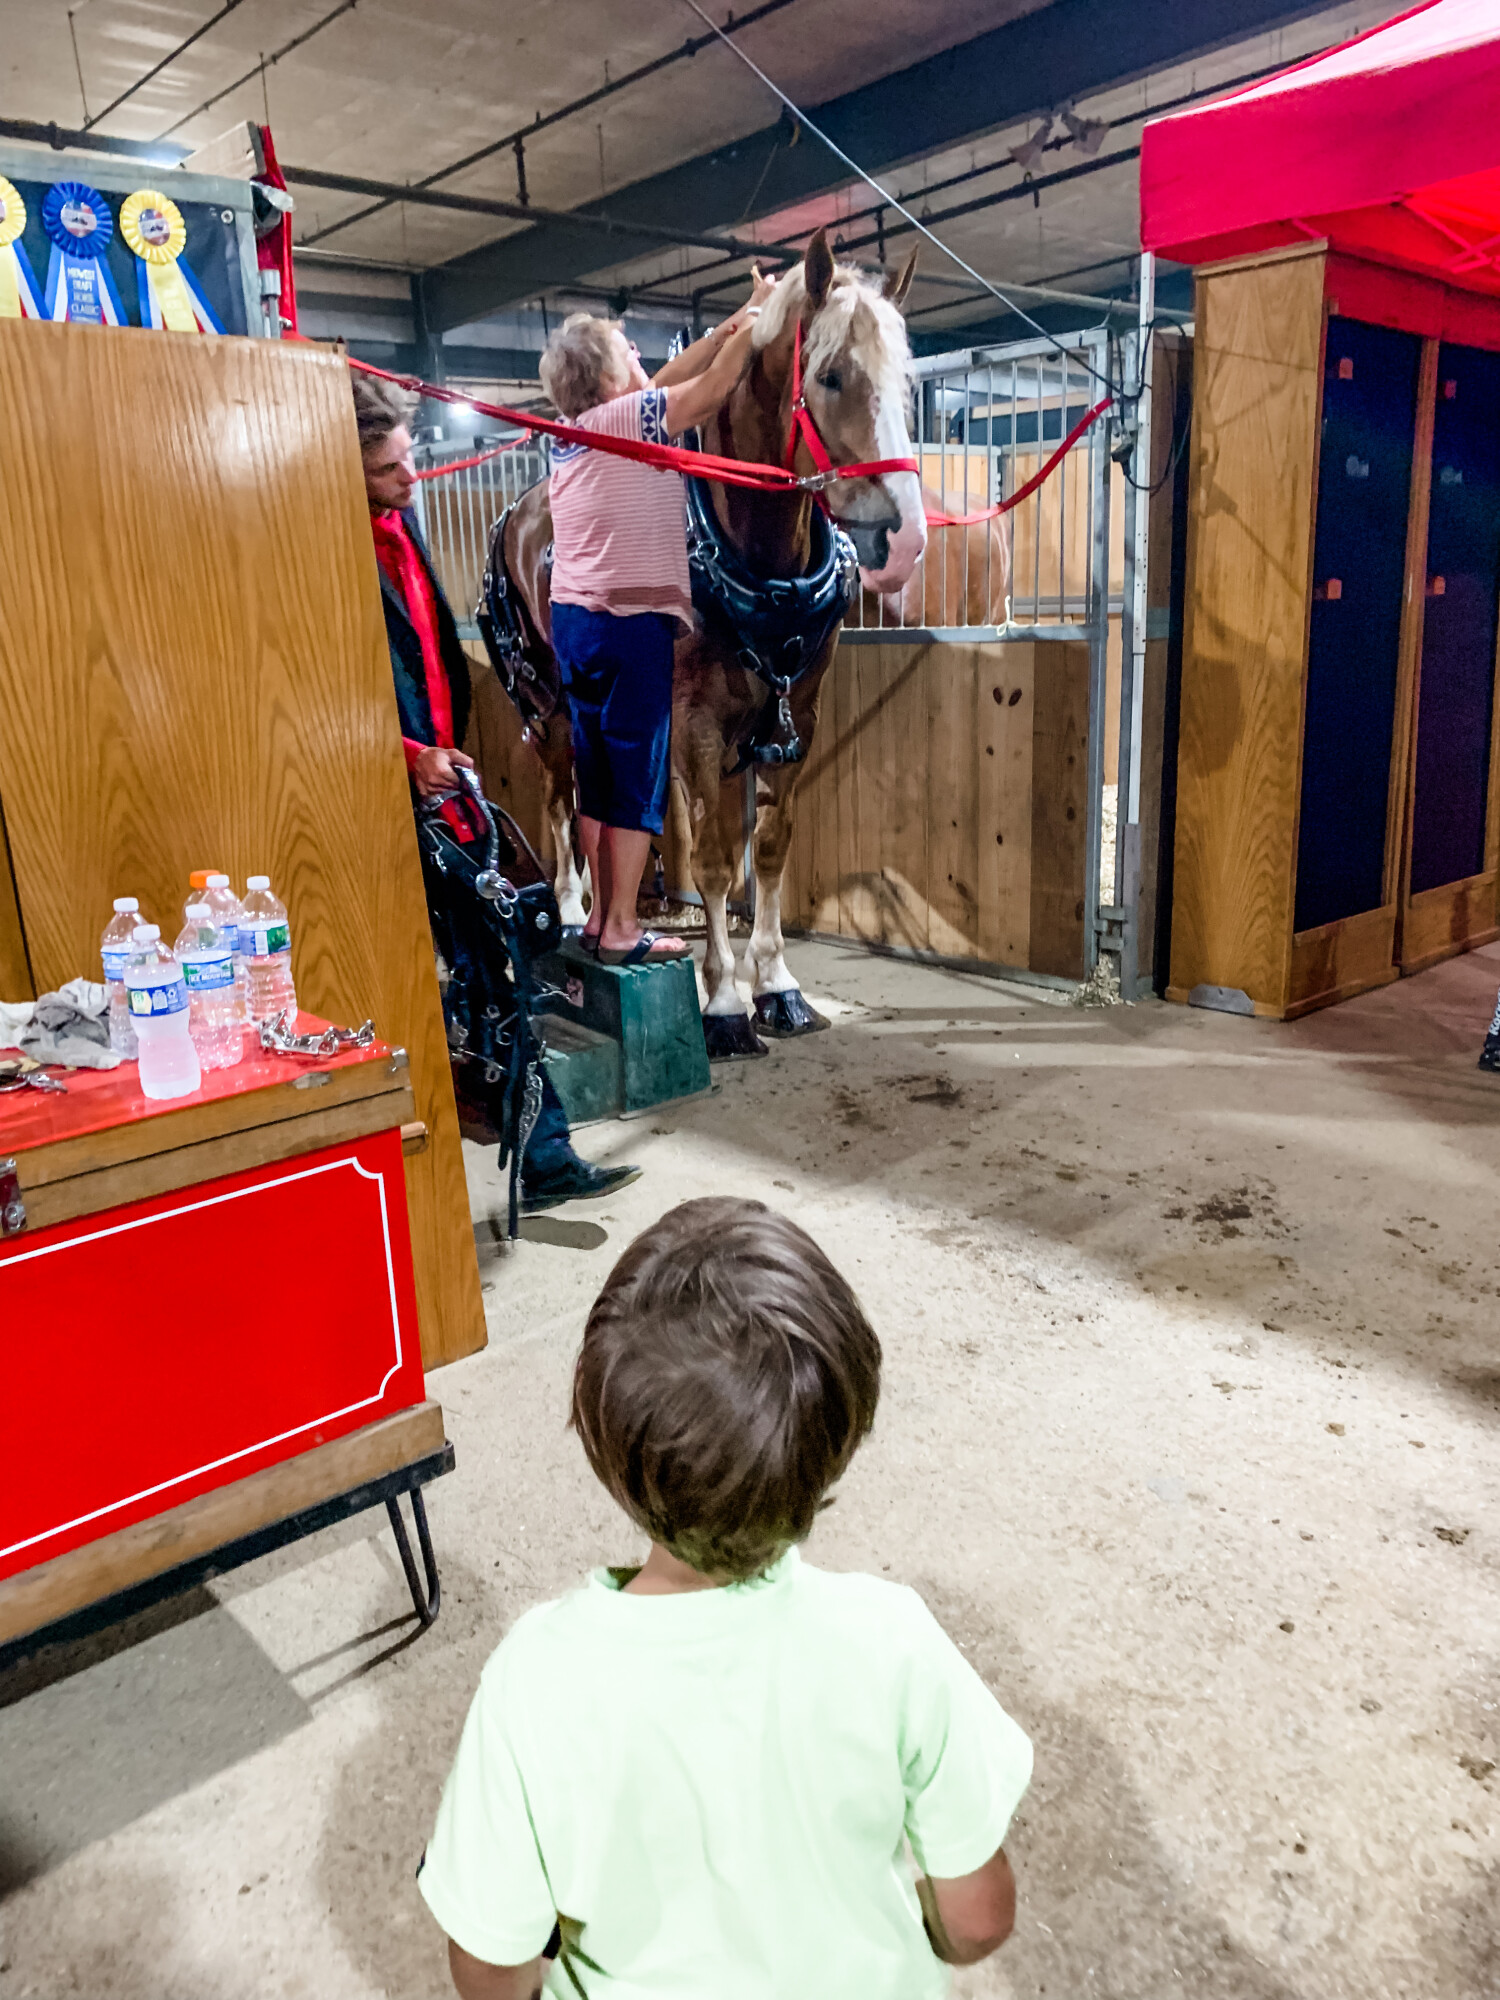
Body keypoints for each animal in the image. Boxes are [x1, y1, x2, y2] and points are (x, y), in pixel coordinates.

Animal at [482, 236, 928, 1064]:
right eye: (831, 375)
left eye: (906, 382)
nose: (906, 538)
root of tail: (517, 512)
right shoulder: (696, 726)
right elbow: (720, 860)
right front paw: (724, 1003)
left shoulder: (796, 719)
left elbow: (773, 849)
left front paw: (778, 987)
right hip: (547, 707)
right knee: (561, 802)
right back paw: (569, 912)